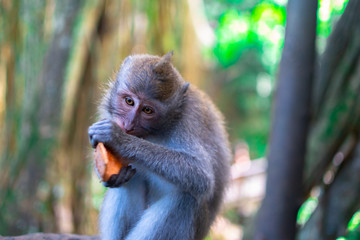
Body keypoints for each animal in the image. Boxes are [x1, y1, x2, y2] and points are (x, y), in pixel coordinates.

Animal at [87, 51, 231, 240]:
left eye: (147, 110)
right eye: (129, 101)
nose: (128, 125)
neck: (155, 132)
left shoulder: (188, 122)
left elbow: (201, 175)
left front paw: (118, 139)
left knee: (187, 197)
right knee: (131, 180)